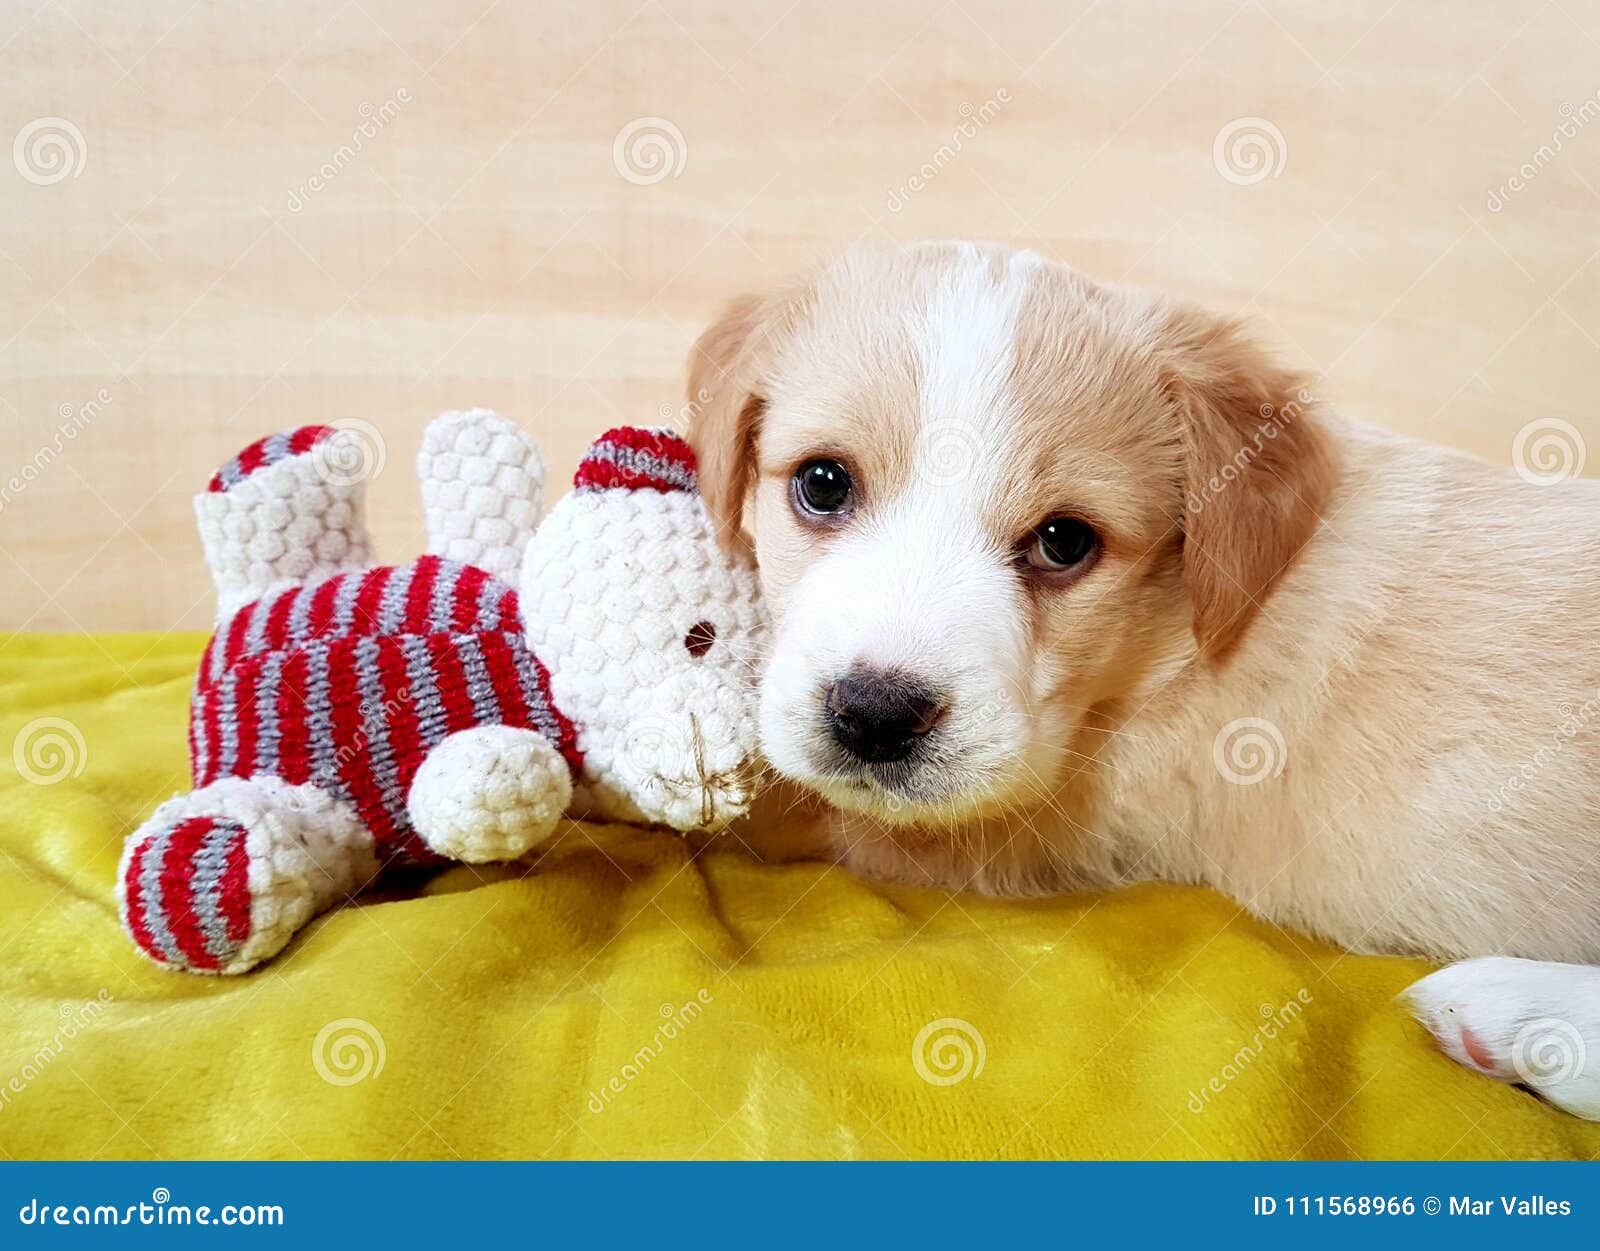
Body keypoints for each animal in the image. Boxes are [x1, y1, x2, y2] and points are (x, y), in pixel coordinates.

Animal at [684, 239, 1600, 1119]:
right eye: (823, 482)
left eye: (1064, 541)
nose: (875, 715)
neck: (1169, 634)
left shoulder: (1020, 825)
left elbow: (781, 812)